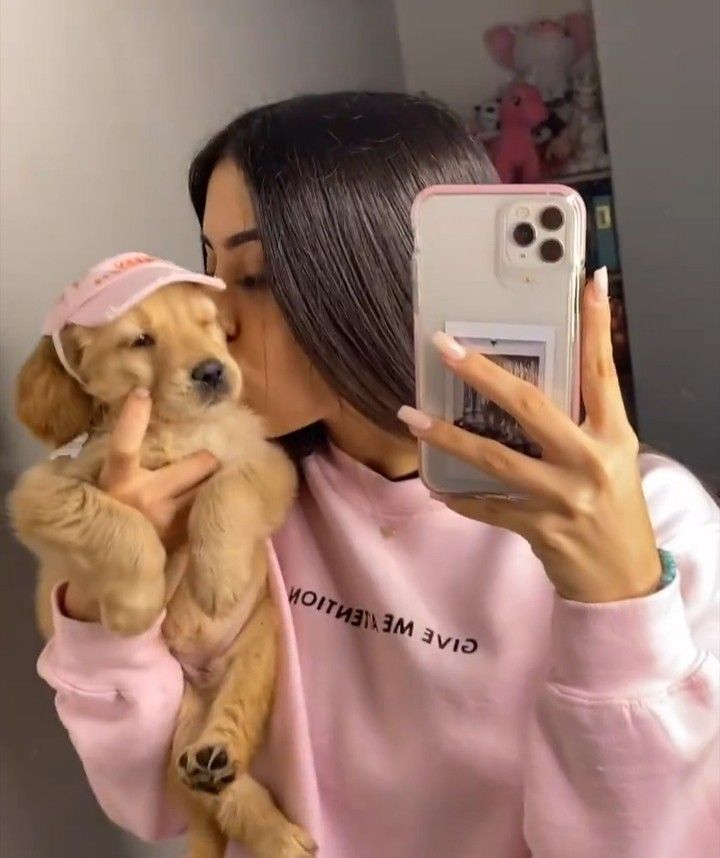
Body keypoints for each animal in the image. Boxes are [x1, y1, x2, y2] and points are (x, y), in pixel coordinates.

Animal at [8, 254, 316, 856]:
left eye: (208, 324)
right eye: (141, 340)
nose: (213, 371)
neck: (170, 430)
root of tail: (203, 678)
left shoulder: (266, 462)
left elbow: (225, 491)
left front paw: (217, 578)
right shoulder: (42, 495)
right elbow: (118, 522)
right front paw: (135, 606)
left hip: (260, 647)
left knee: (235, 721)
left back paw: (228, 768)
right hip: (176, 718)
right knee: (207, 790)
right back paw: (245, 806)